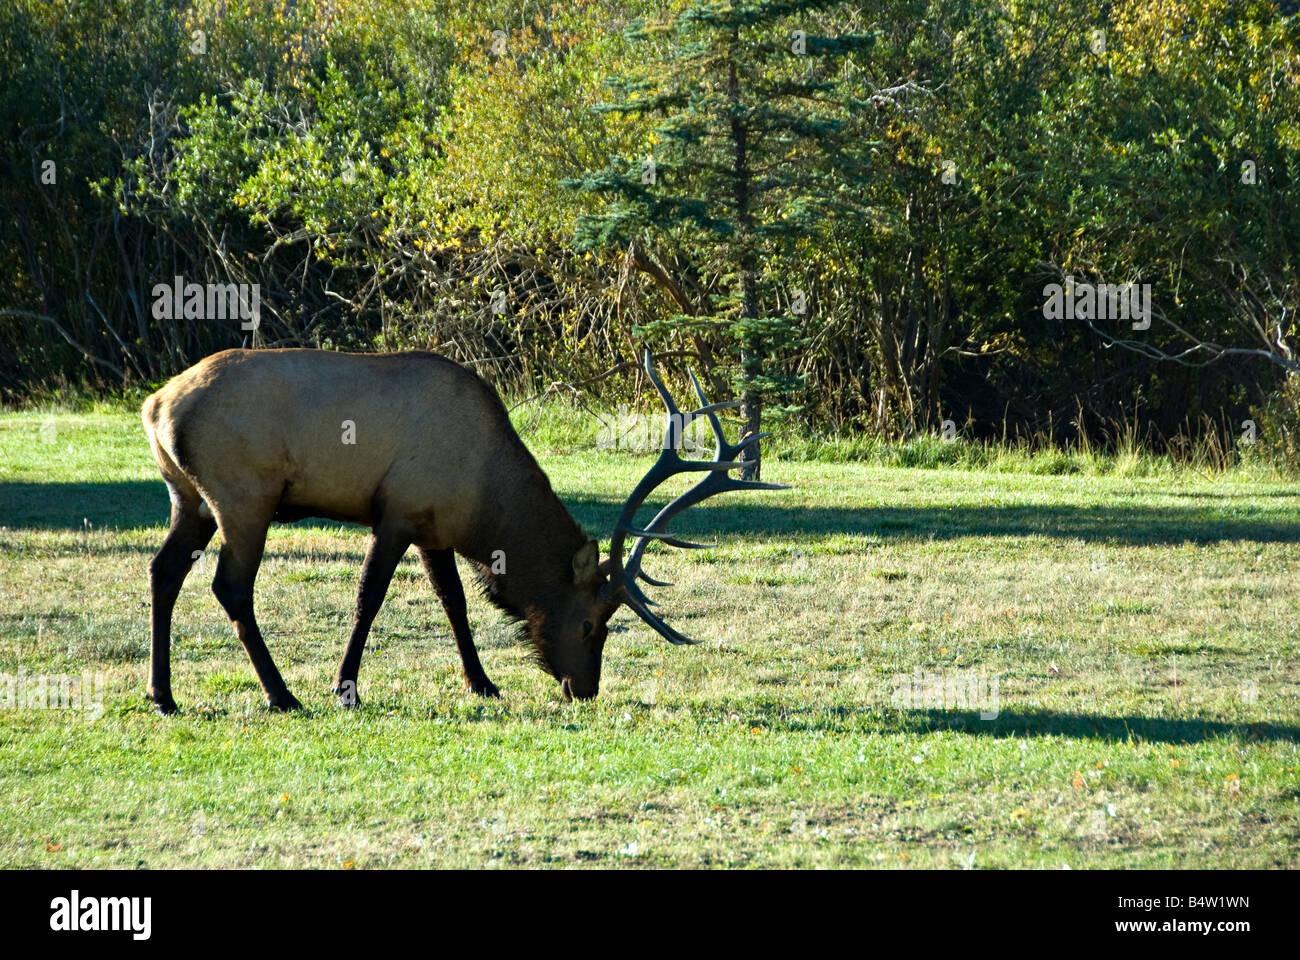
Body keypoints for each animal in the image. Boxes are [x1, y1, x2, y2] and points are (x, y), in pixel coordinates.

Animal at [142, 348, 780, 707]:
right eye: (590, 624)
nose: (585, 690)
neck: (484, 499)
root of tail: (155, 405)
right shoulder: (398, 511)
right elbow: (368, 597)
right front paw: (346, 688)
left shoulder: (434, 528)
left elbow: (455, 602)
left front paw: (484, 684)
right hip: (243, 497)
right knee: (231, 587)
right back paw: (281, 695)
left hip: (188, 499)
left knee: (162, 570)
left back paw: (163, 695)